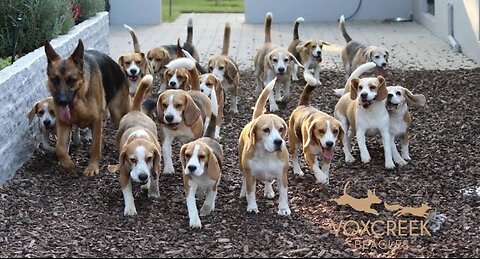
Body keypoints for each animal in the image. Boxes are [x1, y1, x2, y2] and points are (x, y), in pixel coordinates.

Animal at [45, 39, 130, 177]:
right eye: (55, 80)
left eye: (71, 80)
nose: (61, 102)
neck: (79, 99)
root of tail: (117, 66)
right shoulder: (63, 123)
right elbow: (60, 149)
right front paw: (68, 165)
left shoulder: (96, 121)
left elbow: (95, 146)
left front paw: (92, 167)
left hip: (117, 114)